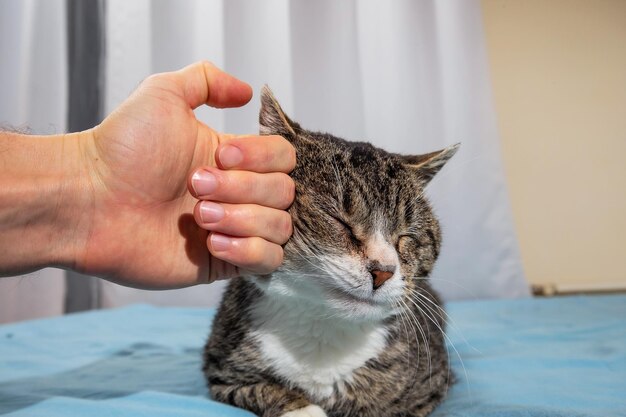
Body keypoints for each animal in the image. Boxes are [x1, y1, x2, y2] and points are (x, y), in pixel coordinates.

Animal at [202, 85, 456, 416]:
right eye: (339, 221)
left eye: (406, 236)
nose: (383, 271)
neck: (322, 329)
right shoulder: (220, 371)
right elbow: (258, 388)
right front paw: (302, 408)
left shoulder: (432, 386)